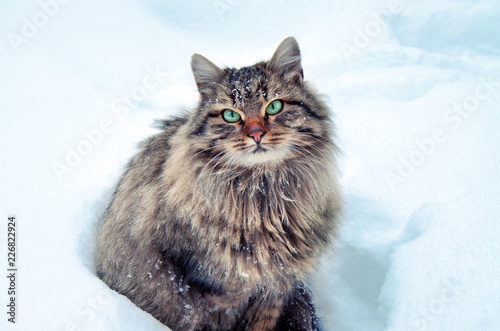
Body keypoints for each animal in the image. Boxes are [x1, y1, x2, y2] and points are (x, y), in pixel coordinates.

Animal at [95, 37, 342, 331]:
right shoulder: (205, 284)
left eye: (274, 107)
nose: (256, 133)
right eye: (230, 115)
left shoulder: (277, 286)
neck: (262, 194)